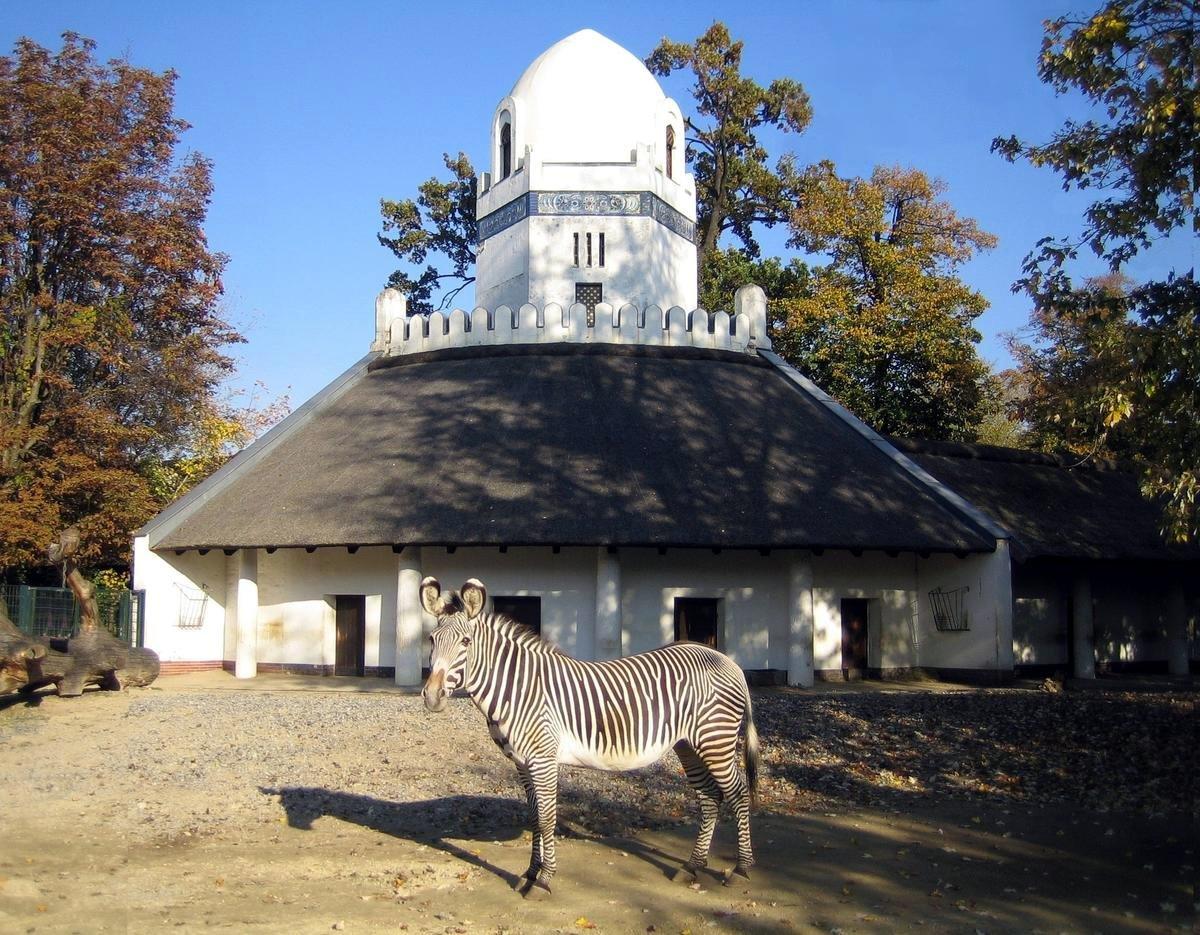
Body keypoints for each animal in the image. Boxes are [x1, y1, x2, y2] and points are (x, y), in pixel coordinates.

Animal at [420, 578, 758, 897]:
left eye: (466, 642)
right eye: (432, 640)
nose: (432, 696)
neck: (518, 686)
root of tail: (726, 660)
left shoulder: (543, 758)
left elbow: (547, 818)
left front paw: (544, 880)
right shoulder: (522, 763)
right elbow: (534, 818)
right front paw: (529, 873)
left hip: (716, 739)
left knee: (739, 794)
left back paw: (741, 869)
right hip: (689, 744)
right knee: (710, 797)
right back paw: (692, 866)